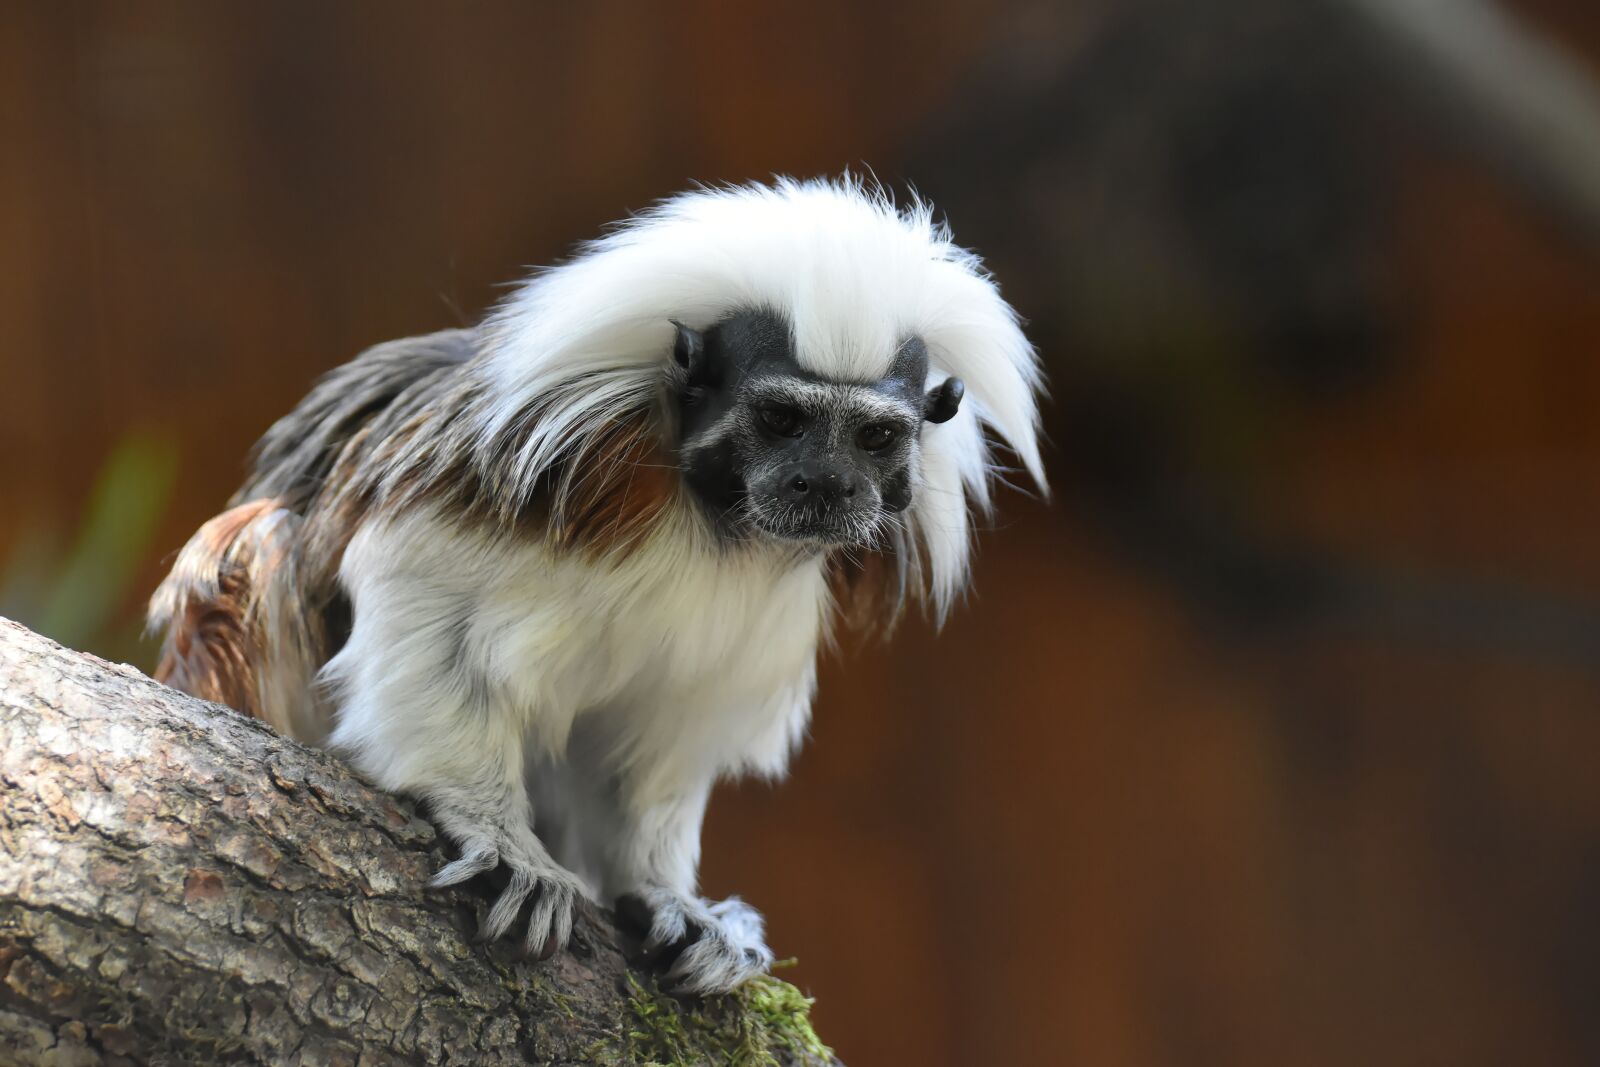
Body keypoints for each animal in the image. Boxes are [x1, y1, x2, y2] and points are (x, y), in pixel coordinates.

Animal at [148, 177, 1046, 995]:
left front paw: (667, 895)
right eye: (783, 420)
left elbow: (654, 735)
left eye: (874, 436)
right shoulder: (546, 461)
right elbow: (415, 584)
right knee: (268, 539)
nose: (824, 484)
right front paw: (496, 833)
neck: (709, 516)